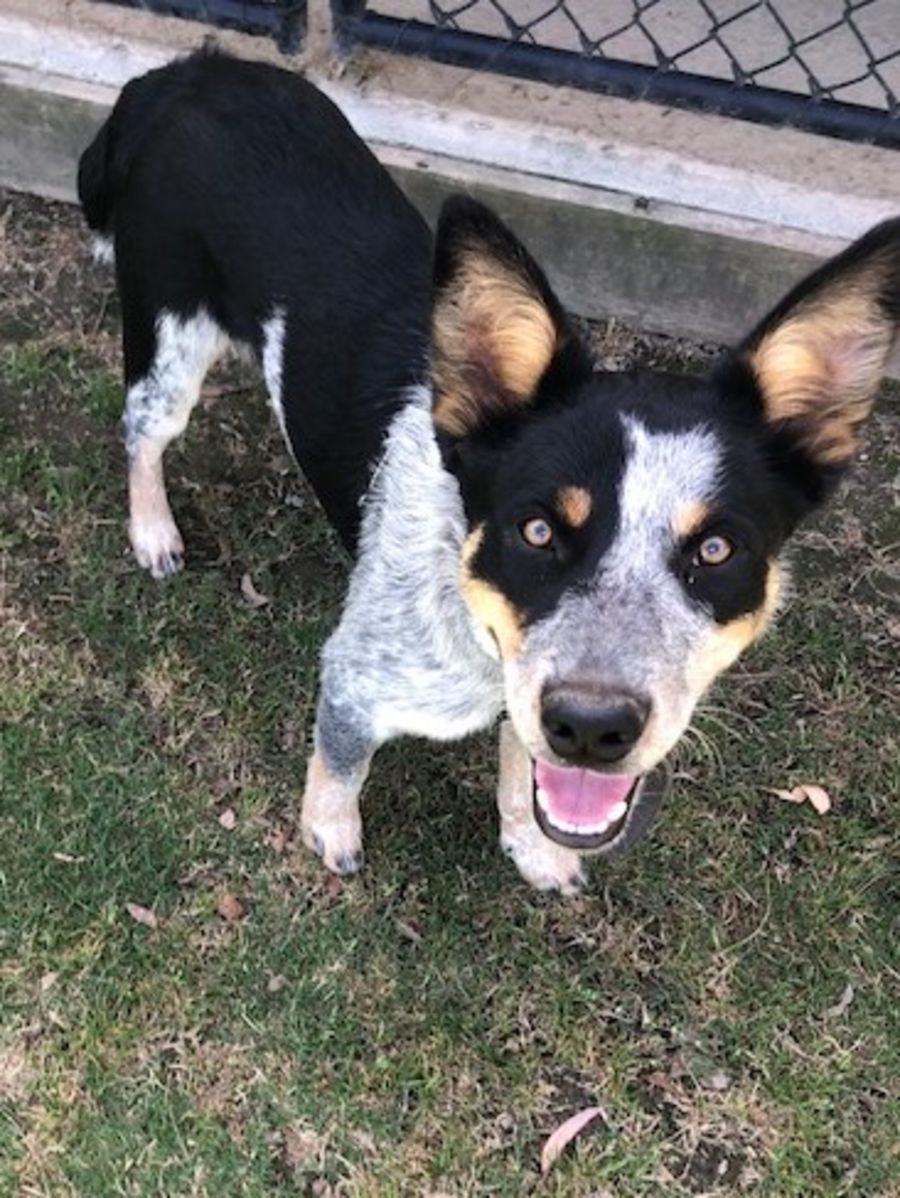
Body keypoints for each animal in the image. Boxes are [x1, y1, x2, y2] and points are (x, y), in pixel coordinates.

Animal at [80, 49, 896, 891]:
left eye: (716, 549)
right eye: (535, 530)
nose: (593, 726)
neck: (464, 591)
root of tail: (182, 72)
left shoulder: (529, 701)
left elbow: (522, 768)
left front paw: (531, 848)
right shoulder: (355, 681)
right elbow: (340, 767)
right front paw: (329, 834)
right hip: (169, 343)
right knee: (141, 433)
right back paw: (153, 531)